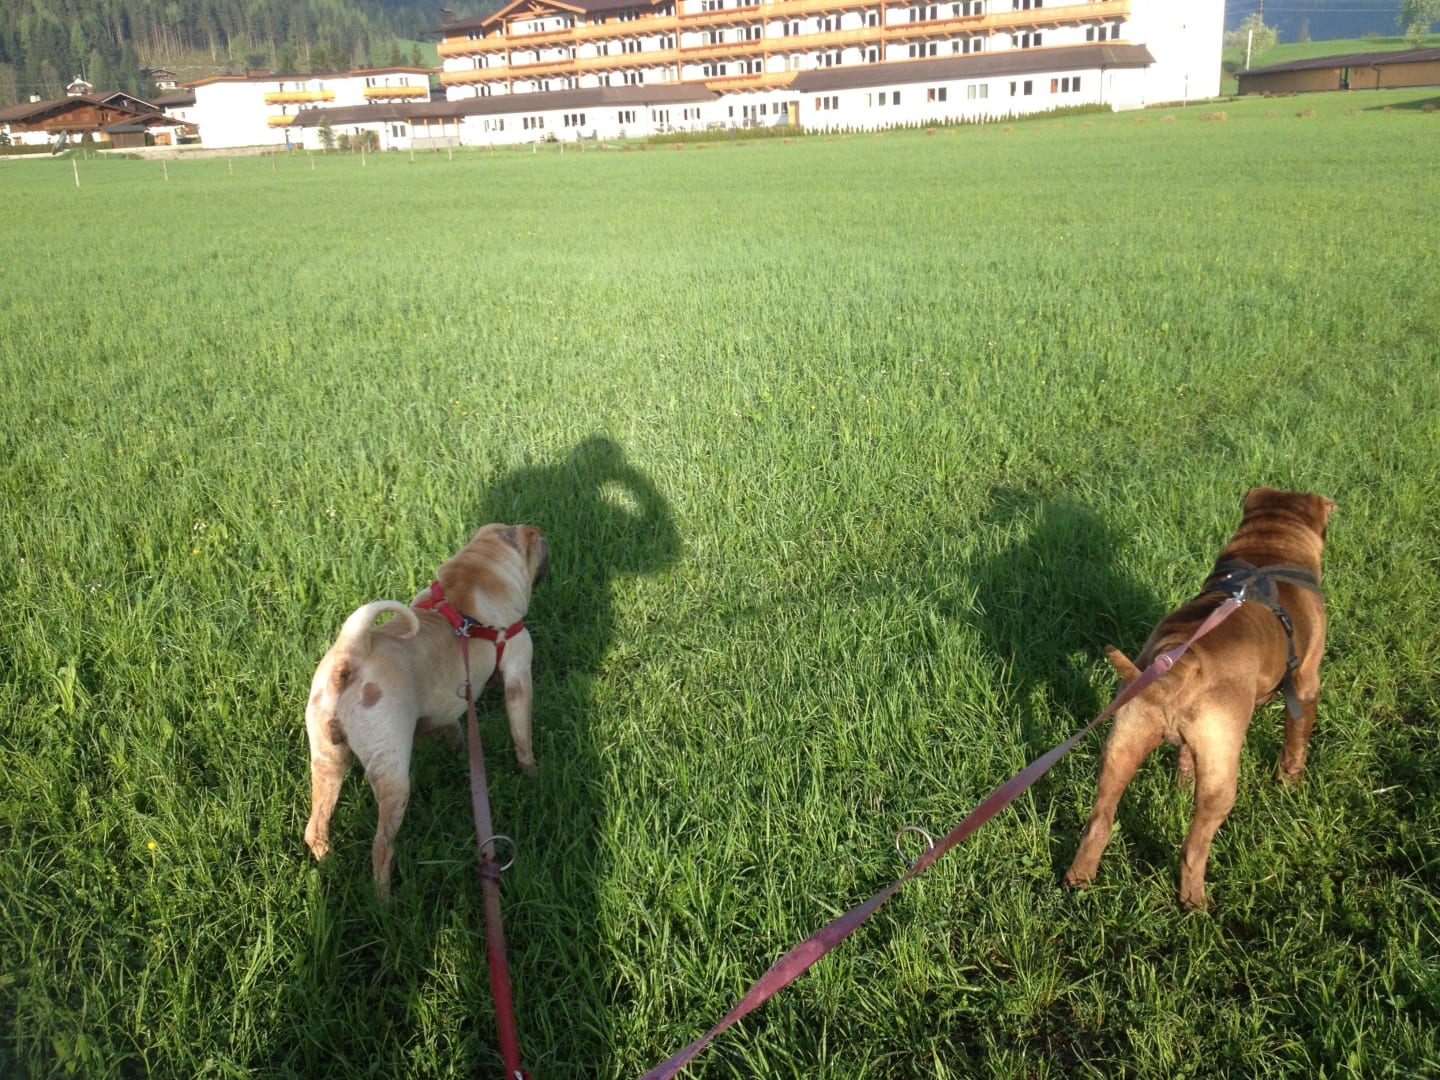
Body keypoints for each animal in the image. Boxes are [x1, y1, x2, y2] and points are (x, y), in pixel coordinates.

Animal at [303, 523, 549, 898]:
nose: (546, 540)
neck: (475, 575)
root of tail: (350, 656)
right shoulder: (519, 679)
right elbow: (523, 740)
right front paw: (532, 775)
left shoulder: (451, 704)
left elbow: (454, 728)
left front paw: (457, 750)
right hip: (391, 774)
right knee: (381, 846)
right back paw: (384, 902)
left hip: (327, 760)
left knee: (315, 827)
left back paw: (328, 864)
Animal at [1063, 488, 1334, 909]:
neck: (1268, 550)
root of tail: (1179, 667)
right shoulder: (1306, 683)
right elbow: (1296, 742)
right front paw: (1290, 785)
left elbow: (1185, 759)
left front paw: (1180, 784)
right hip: (1221, 773)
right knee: (1193, 848)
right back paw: (1196, 905)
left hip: (1122, 745)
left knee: (1099, 822)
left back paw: (1078, 881)